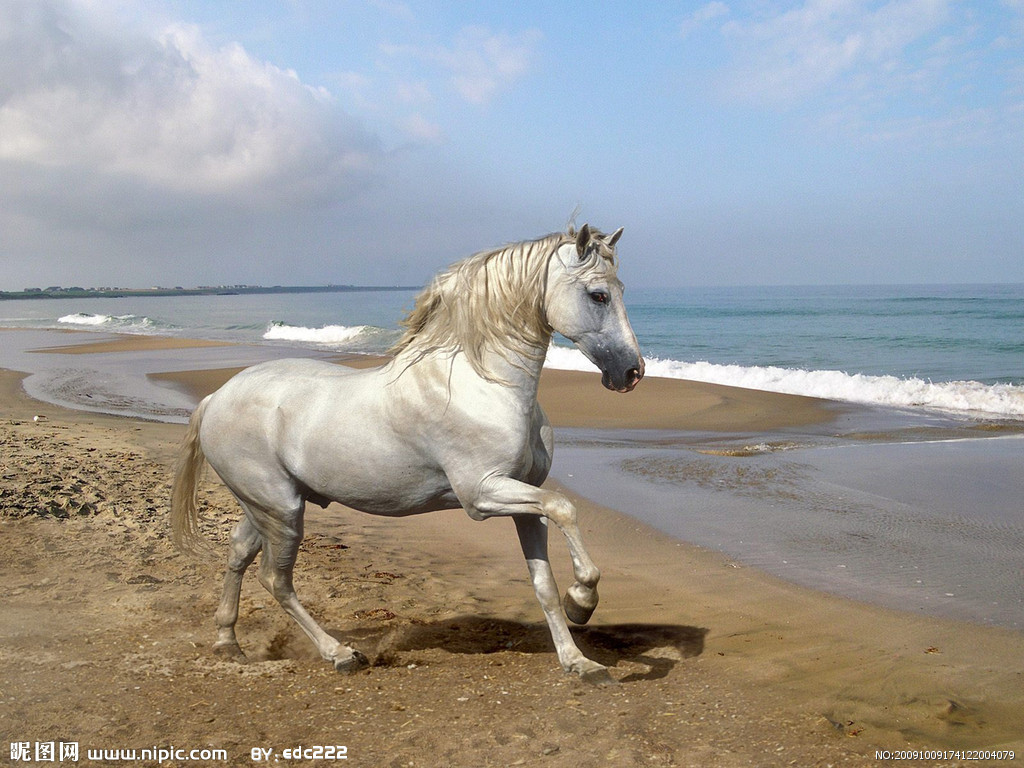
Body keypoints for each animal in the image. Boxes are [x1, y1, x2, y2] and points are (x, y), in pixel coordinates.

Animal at [171, 224, 644, 684]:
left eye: (620, 288)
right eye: (598, 295)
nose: (632, 372)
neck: (483, 383)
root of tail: (215, 398)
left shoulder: (525, 500)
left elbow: (544, 583)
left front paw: (579, 662)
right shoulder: (482, 495)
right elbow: (566, 508)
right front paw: (582, 601)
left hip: (266, 506)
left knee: (238, 553)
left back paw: (228, 643)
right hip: (282, 510)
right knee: (275, 579)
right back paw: (341, 654)